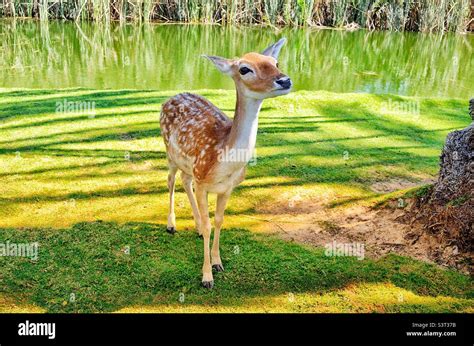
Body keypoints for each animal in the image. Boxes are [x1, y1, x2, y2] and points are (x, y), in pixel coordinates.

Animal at [161, 37, 290, 288]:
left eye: (275, 62)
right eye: (244, 69)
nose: (285, 80)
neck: (224, 163)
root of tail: (171, 97)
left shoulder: (227, 187)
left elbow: (219, 221)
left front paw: (218, 263)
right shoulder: (203, 183)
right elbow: (210, 224)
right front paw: (206, 277)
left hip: (189, 166)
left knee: (184, 179)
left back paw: (196, 226)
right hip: (170, 152)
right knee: (171, 179)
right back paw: (172, 225)